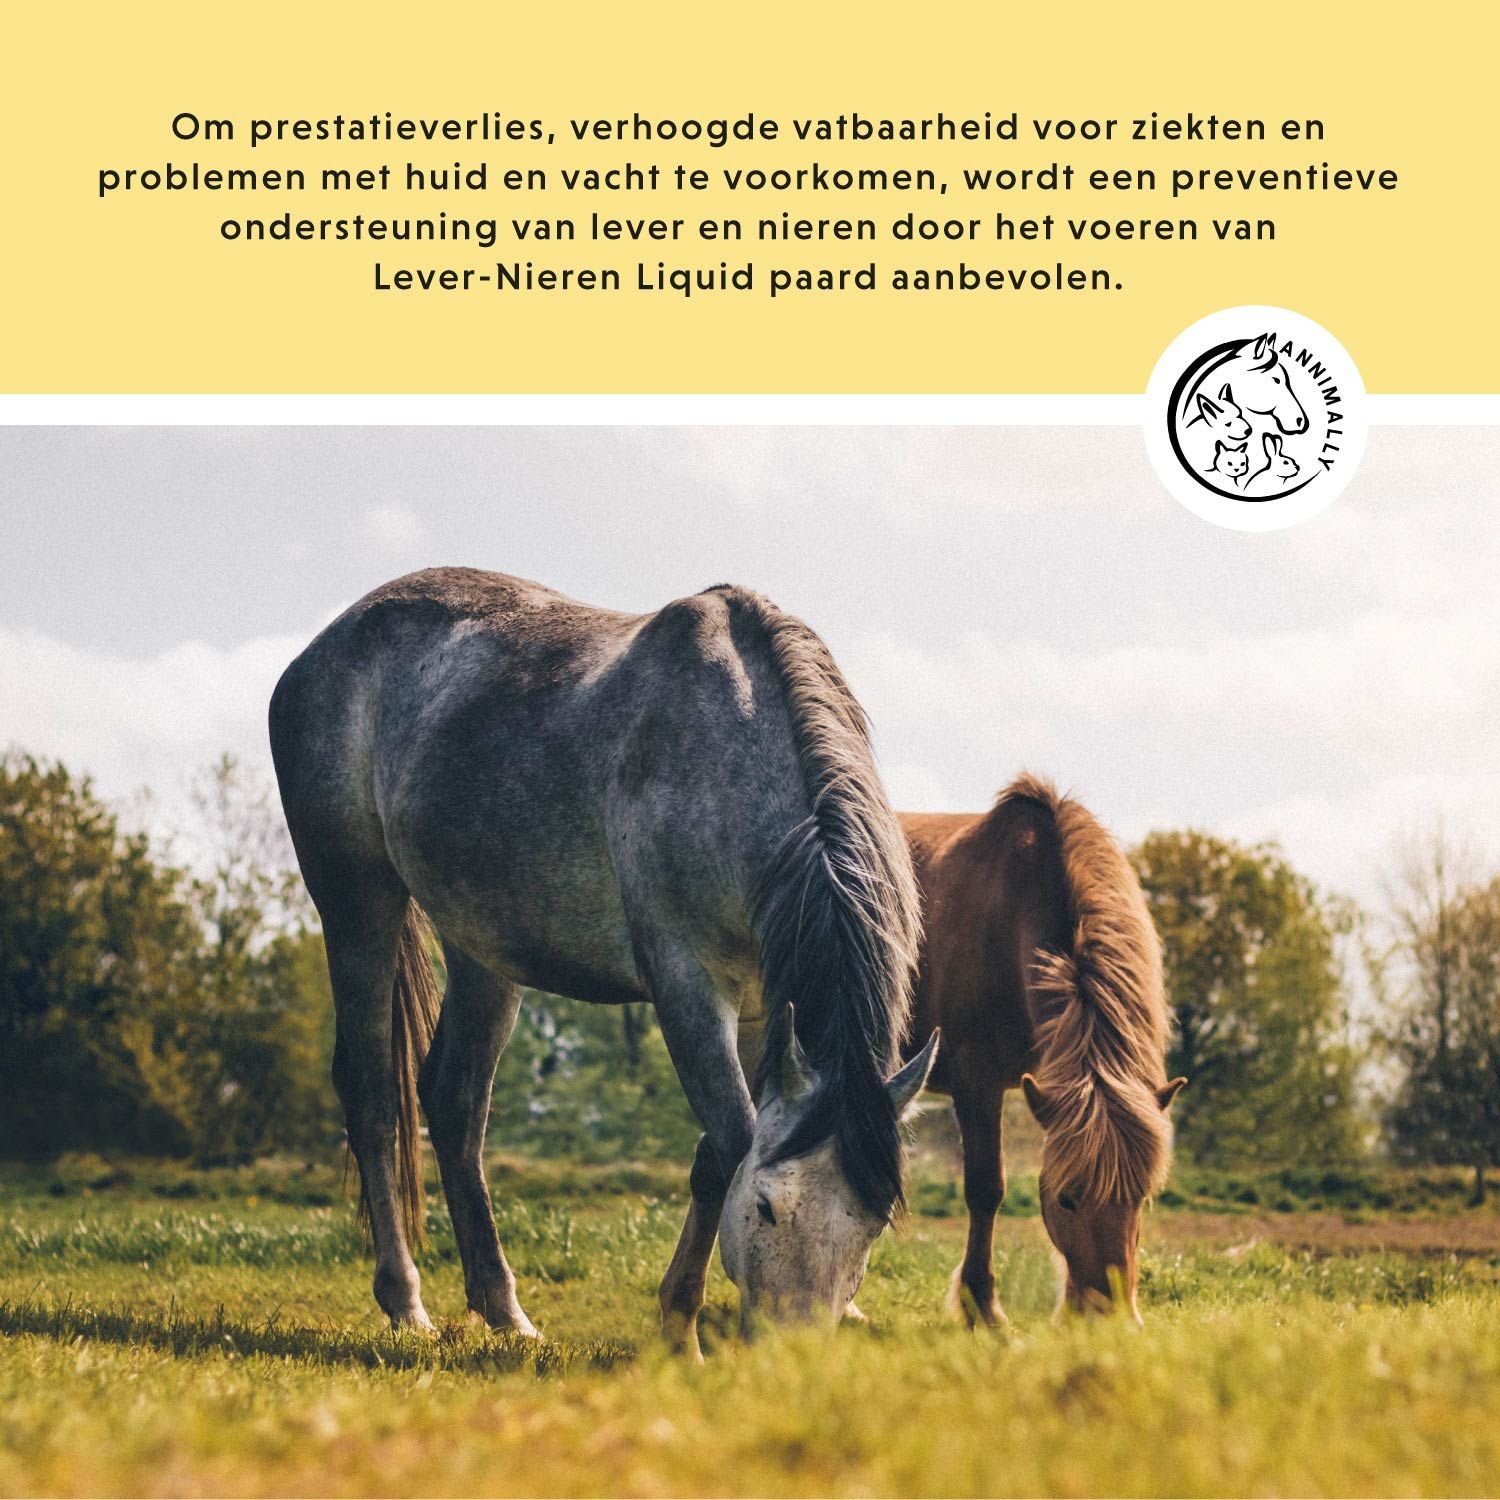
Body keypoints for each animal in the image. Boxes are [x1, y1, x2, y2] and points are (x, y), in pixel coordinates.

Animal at [269, 567, 938, 1353]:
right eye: (770, 1208)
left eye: (873, 1224)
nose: (791, 1354)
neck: (733, 751)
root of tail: (324, 647)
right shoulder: (686, 984)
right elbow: (732, 1142)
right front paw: (681, 1332)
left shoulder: (761, 1009)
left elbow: (715, 1156)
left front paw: (676, 1319)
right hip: (357, 904)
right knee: (374, 1093)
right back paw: (405, 1302)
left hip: (481, 947)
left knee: (455, 1102)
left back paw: (504, 1310)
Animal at [902, 776, 1185, 1325]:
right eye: (1067, 1200)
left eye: (1140, 1198)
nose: (1110, 1317)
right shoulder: (976, 1082)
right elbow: (986, 1189)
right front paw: (983, 1308)